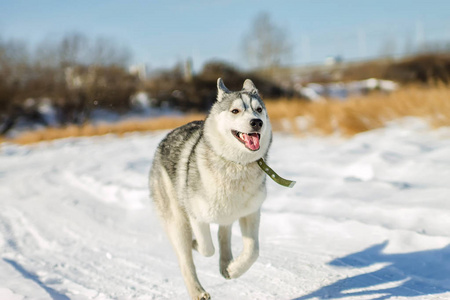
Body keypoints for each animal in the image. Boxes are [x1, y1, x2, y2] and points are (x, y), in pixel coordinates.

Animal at [149, 78, 272, 300]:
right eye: (235, 111)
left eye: (258, 110)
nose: (257, 122)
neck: (236, 165)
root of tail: (166, 137)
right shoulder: (196, 216)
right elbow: (207, 248)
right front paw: (197, 245)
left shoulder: (251, 213)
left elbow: (253, 251)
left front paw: (233, 269)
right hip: (177, 223)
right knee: (186, 261)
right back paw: (197, 291)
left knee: (224, 232)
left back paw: (226, 263)